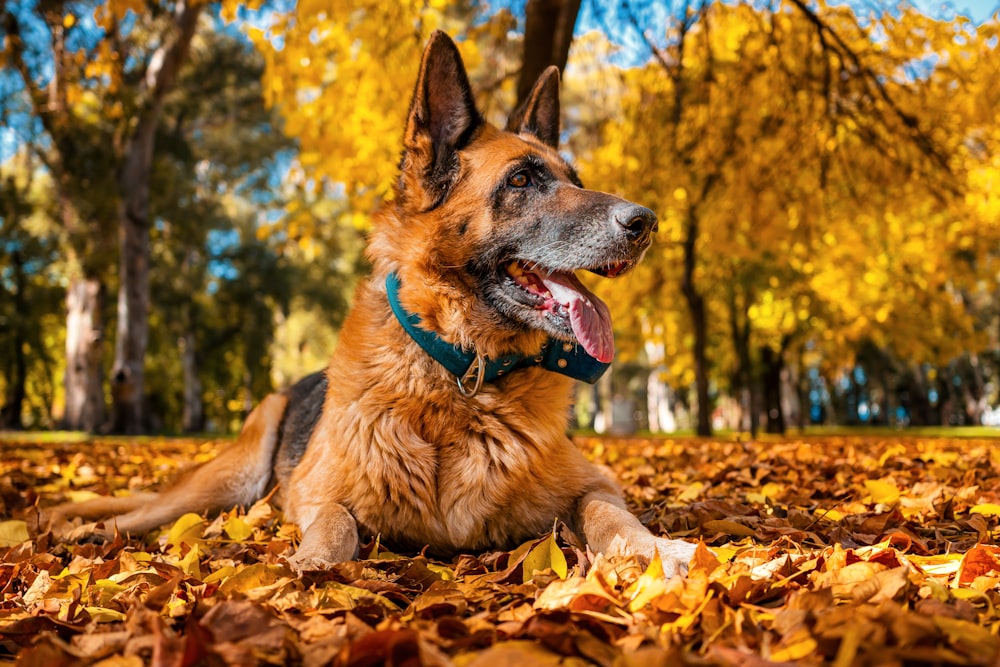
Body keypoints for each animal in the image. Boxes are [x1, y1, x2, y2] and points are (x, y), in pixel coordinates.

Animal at [47, 31, 700, 576]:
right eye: (521, 180)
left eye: (575, 179)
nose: (646, 222)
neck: (459, 373)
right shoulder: (317, 493)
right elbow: (336, 524)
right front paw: (311, 564)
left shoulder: (597, 482)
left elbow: (611, 513)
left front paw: (655, 549)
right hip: (228, 480)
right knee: (147, 513)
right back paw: (85, 532)